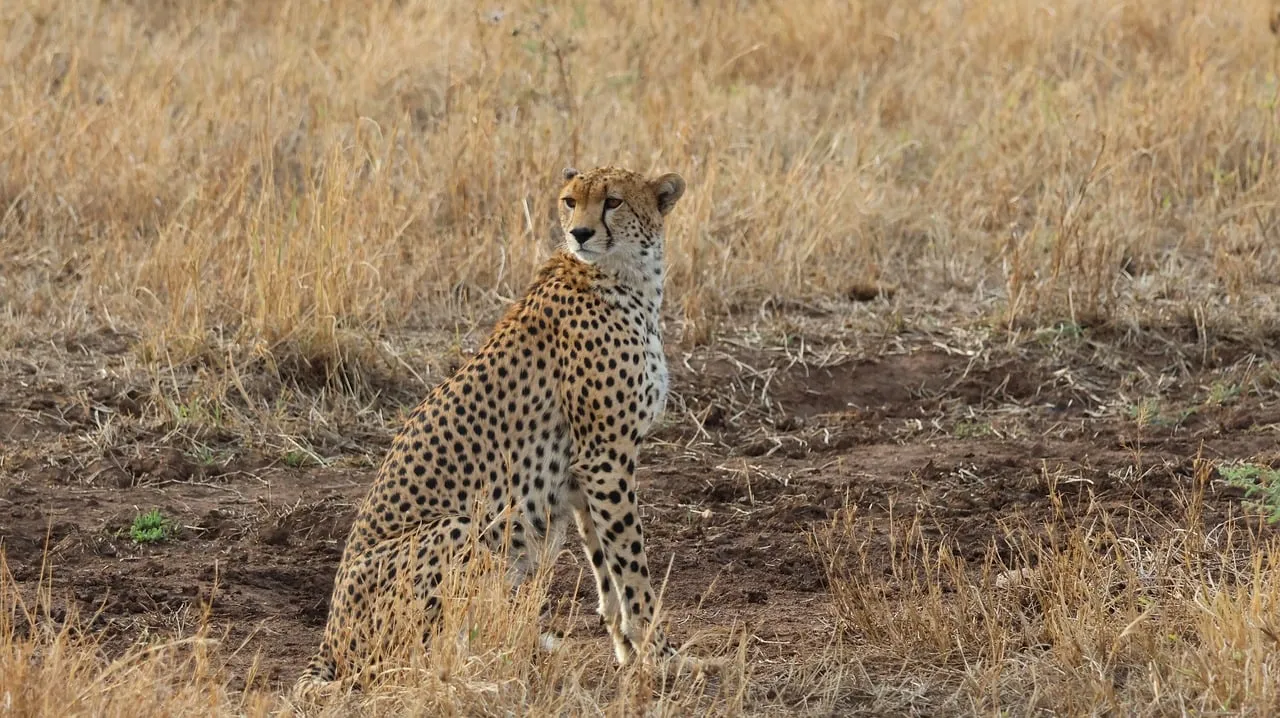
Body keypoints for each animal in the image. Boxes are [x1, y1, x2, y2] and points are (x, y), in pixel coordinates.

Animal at [294, 165, 711, 696]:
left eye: (614, 201)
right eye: (570, 201)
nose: (579, 233)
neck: (628, 276)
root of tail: (327, 639)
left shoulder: (585, 474)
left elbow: (608, 570)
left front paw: (629, 654)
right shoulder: (606, 458)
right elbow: (632, 568)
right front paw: (663, 657)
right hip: (463, 529)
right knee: (399, 664)